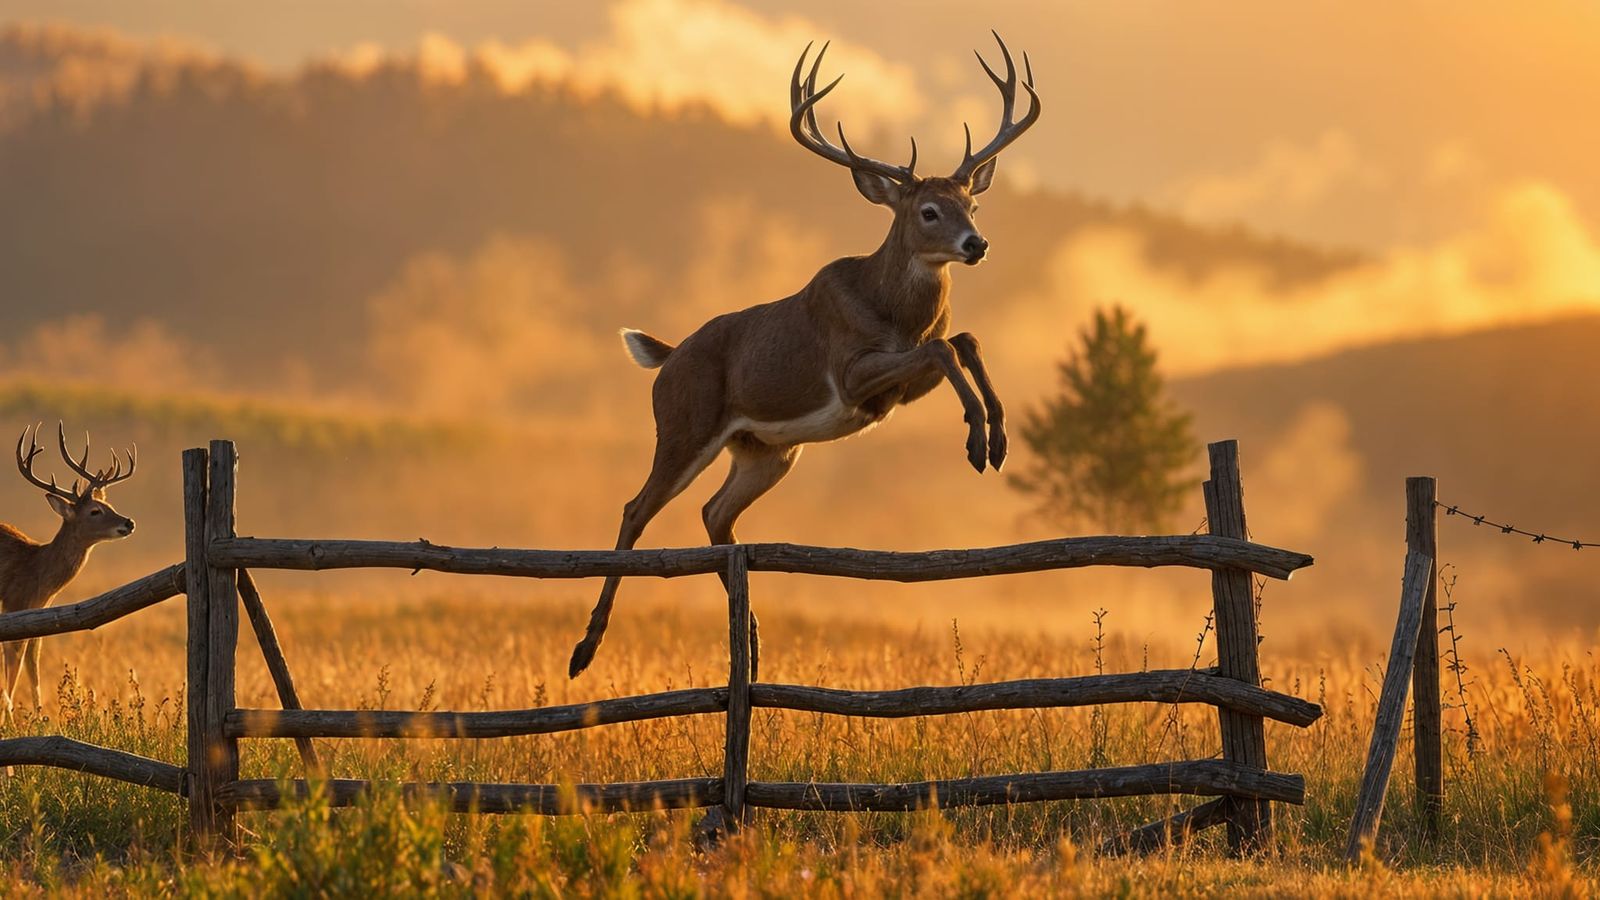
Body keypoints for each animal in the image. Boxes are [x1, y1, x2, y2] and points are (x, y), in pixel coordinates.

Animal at [0, 423, 137, 722]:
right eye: (95, 511)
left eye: (109, 505)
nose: (129, 522)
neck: (35, 573)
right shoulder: (12, 605)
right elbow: (12, 667)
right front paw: (10, 720)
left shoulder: (36, 614)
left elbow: (33, 667)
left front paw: (38, 718)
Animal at [568, 33, 1040, 679]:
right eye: (928, 211)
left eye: (974, 206)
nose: (977, 244)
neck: (892, 310)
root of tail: (667, 359)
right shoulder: (852, 372)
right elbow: (943, 346)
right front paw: (976, 442)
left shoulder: (897, 387)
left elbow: (961, 340)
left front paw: (997, 438)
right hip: (685, 424)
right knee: (636, 508)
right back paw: (585, 648)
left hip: (768, 451)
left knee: (715, 513)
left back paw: (752, 641)